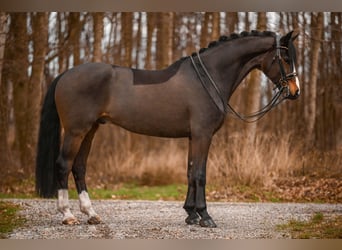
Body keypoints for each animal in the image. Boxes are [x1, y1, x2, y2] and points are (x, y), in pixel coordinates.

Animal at [36, 30, 300, 228]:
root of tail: (65, 74)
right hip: (76, 131)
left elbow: (191, 172)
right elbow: (200, 174)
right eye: (286, 58)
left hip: (90, 130)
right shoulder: (203, 135)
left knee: (79, 167)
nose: (295, 92)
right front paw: (205, 217)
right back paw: (68, 215)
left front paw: (191, 214)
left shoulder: (194, 137)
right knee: (64, 165)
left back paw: (91, 214)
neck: (209, 78)